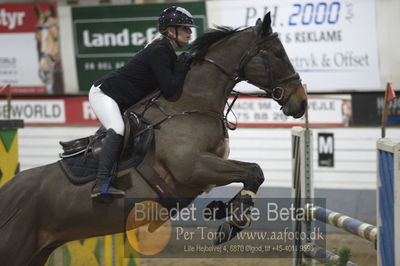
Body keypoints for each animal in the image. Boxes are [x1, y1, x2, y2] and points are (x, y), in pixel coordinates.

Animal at [0, 13, 306, 264]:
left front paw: (222, 211)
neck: (189, 102)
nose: (301, 102)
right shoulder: (192, 167)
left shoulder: (205, 172)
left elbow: (251, 174)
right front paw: (231, 223)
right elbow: (254, 171)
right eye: (277, 54)